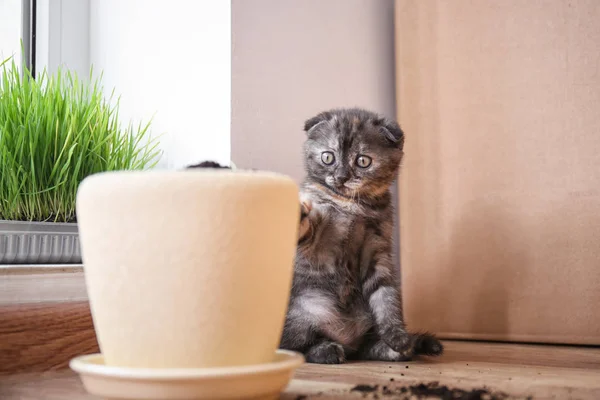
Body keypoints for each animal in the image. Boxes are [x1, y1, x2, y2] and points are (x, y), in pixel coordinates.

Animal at [278, 108, 442, 364]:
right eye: (328, 157)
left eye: (363, 161)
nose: (341, 177)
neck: (352, 205)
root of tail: (348, 340)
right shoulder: (317, 239)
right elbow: (308, 226)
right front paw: (299, 212)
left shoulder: (377, 251)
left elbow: (386, 296)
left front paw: (398, 336)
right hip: (302, 310)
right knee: (298, 346)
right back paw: (327, 350)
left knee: (367, 346)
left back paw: (400, 349)